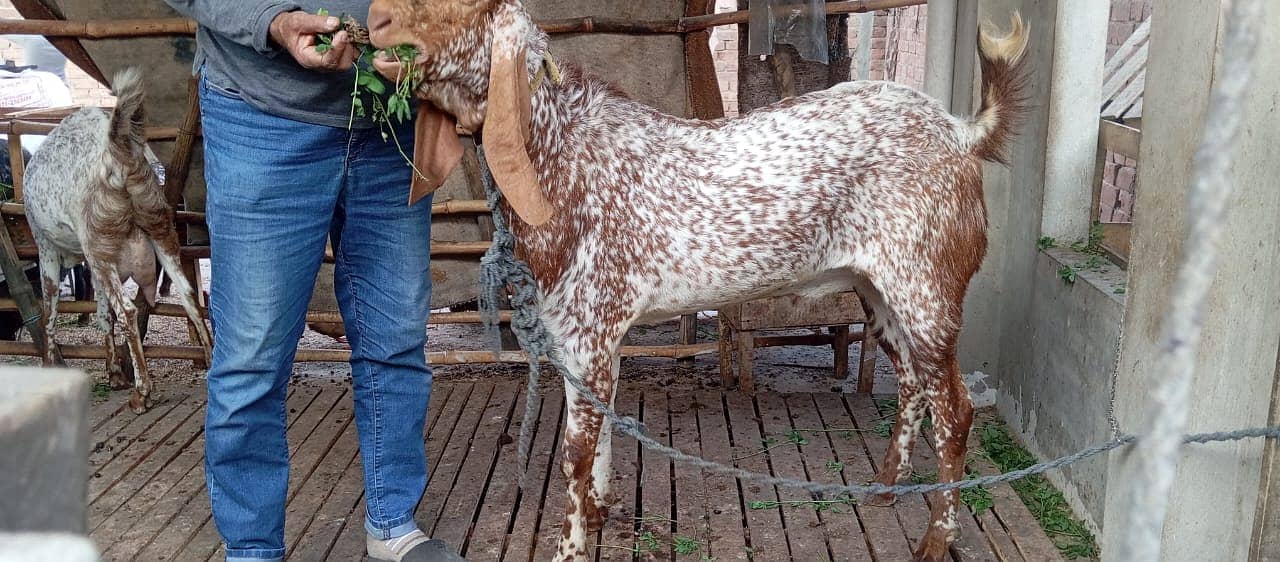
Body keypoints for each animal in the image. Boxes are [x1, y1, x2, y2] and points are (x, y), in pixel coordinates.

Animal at [24, 68, 212, 414]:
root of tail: (118, 150)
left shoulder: (49, 249)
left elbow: (49, 311)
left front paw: (49, 364)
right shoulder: (96, 260)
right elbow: (101, 311)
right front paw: (113, 372)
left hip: (97, 241)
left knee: (127, 310)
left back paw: (142, 392)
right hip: (158, 227)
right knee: (189, 295)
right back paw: (209, 359)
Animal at [368, 2, 1028, 560]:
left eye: (465, 5)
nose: (374, 21)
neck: (562, 155)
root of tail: (958, 132)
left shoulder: (587, 325)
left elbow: (574, 450)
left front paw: (570, 545)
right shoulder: (591, 334)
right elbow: (599, 426)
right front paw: (600, 513)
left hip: (927, 291)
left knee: (955, 410)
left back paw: (937, 539)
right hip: (878, 293)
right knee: (914, 384)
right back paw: (885, 486)